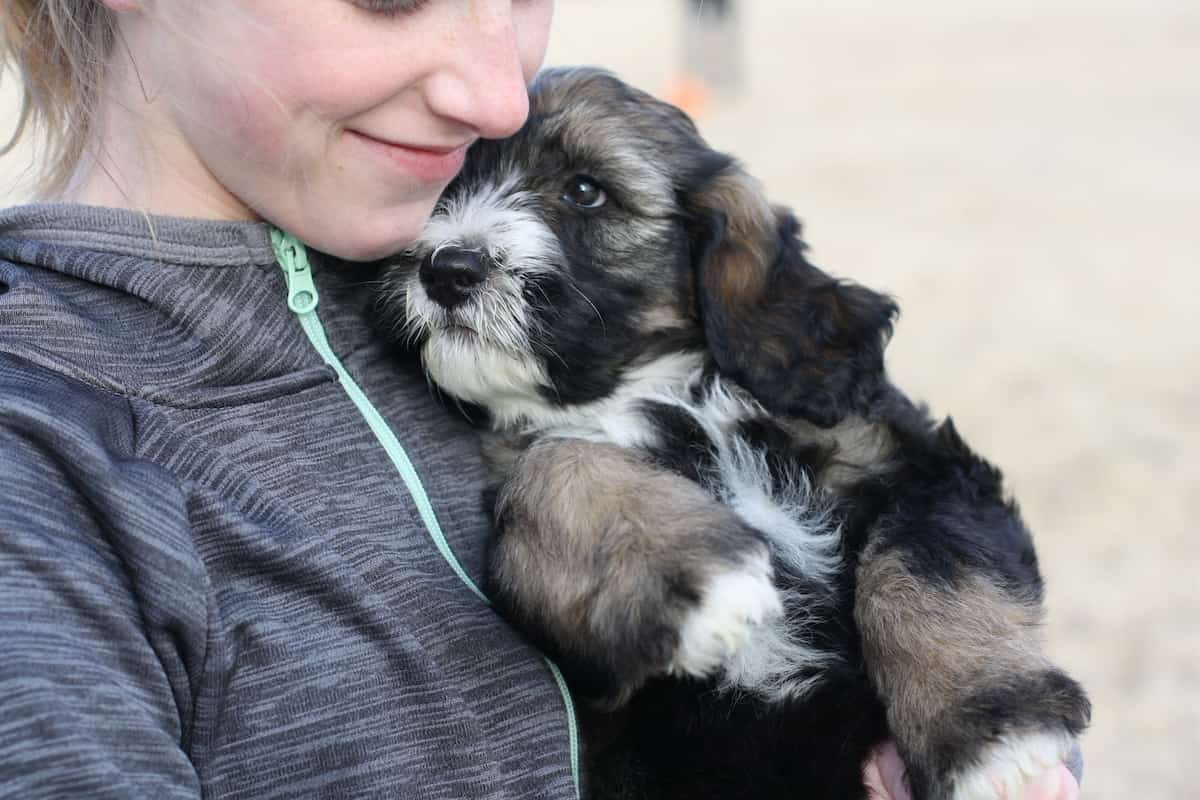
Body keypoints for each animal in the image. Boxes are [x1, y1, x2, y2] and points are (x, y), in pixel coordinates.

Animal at [372, 68, 1089, 800]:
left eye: (585, 190)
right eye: (446, 186)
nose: (447, 269)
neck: (649, 389)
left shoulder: (920, 464)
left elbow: (925, 567)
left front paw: (991, 740)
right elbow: (560, 463)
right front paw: (702, 582)